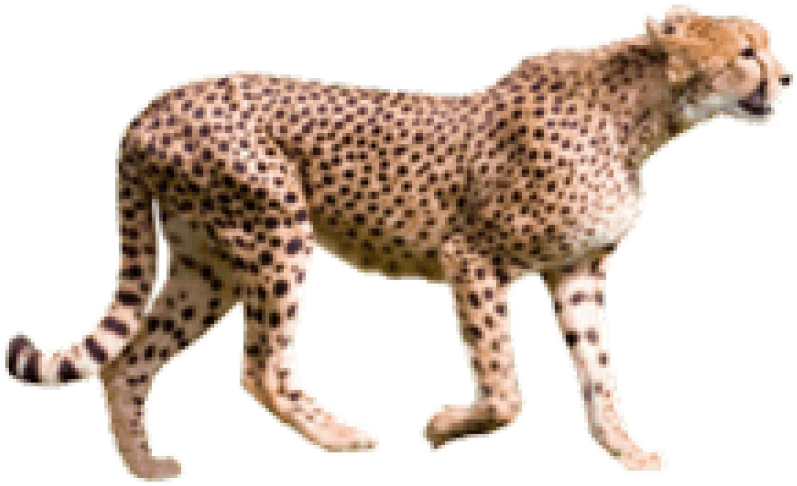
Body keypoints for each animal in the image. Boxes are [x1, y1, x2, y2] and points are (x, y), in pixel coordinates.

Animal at [2, 3, 792, 480]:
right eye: (746, 51)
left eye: (766, 46)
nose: (786, 75)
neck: (642, 116)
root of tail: (149, 108)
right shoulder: (473, 258)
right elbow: (507, 386)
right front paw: (446, 427)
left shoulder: (576, 271)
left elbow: (599, 371)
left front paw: (626, 450)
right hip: (277, 234)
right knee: (260, 366)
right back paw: (340, 434)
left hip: (210, 263)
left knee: (129, 358)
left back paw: (145, 467)